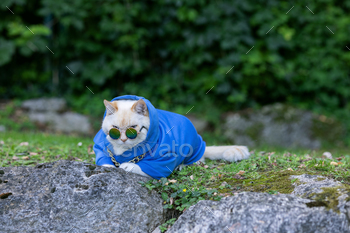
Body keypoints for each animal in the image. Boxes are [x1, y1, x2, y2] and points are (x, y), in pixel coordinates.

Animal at [93, 95, 250, 179]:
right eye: (115, 129)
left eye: (132, 130)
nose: (123, 139)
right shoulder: (100, 147)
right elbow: (104, 160)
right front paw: (109, 166)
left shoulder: (165, 160)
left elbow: (145, 168)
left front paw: (129, 165)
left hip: (192, 149)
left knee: (199, 160)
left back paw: (182, 165)